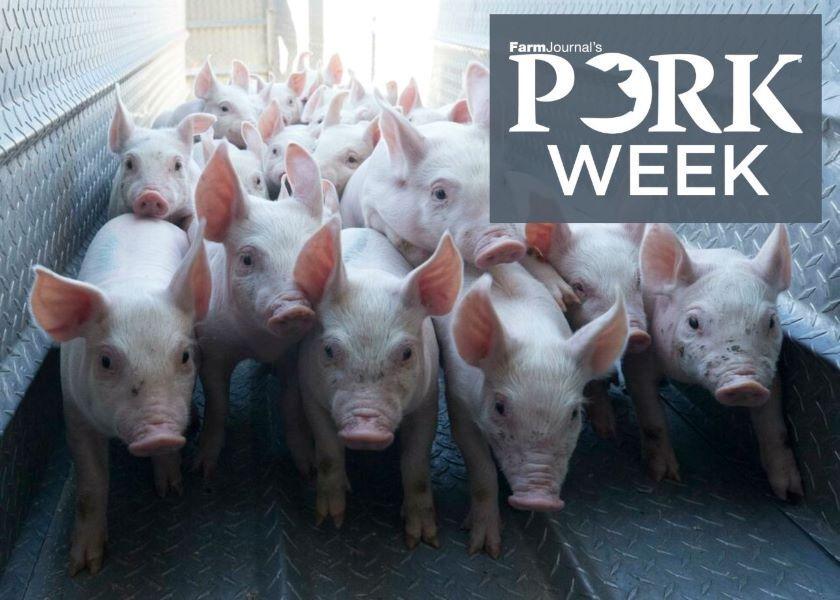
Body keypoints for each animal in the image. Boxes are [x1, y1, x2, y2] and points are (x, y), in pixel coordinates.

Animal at [29, 214, 211, 575]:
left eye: (185, 356)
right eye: (106, 361)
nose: (158, 433)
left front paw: (170, 491)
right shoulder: (75, 412)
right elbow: (91, 482)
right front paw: (84, 567)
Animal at [191, 141, 326, 478]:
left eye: (315, 256)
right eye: (247, 259)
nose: (293, 307)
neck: (258, 343)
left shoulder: (293, 354)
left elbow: (290, 403)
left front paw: (308, 468)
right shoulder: (212, 349)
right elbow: (218, 404)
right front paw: (202, 469)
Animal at [295, 221, 462, 546]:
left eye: (407, 353)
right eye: (329, 350)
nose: (366, 428)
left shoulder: (428, 399)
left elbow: (416, 462)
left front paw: (422, 539)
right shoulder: (310, 392)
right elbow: (328, 452)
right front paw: (330, 520)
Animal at [437, 262, 628, 556]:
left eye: (574, 414)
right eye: (500, 407)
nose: (538, 499)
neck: (533, 335)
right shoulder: (458, 401)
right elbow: (482, 469)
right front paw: (485, 549)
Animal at [624, 224, 801, 500]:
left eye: (772, 322)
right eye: (693, 322)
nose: (745, 384)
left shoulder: (770, 369)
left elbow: (775, 427)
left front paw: (792, 495)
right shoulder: (640, 356)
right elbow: (650, 414)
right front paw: (666, 477)